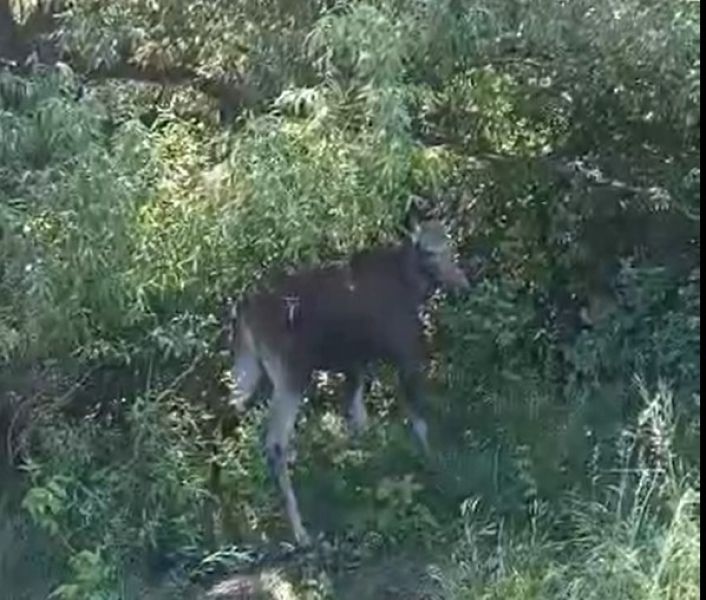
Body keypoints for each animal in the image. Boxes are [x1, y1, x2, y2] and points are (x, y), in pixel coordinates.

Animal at [223, 199, 470, 548]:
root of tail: (243, 312)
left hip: (246, 369)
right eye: (428, 251)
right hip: (290, 372)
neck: (411, 286)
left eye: (449, 244)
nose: (464, 284)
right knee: (275, 443)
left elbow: (357, 422)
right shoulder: (404, 351)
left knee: (227, 422)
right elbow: (417, 420)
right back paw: (300, 531)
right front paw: (434, 466)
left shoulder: (355, 365)